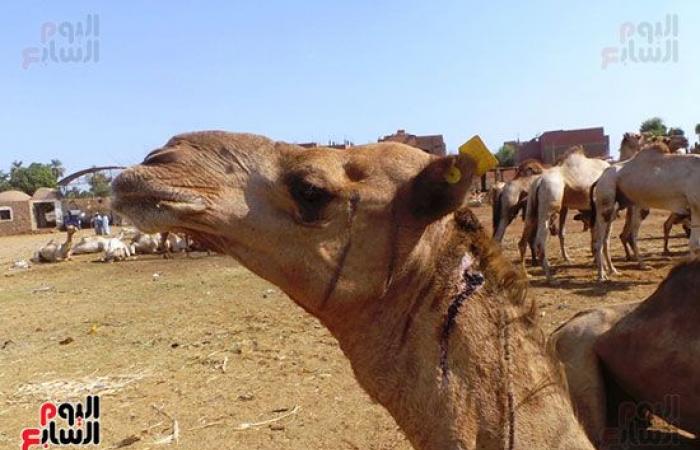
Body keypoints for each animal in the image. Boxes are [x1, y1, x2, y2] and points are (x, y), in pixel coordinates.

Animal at [516, 148, 608, 282]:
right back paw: (550, 278)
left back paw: (526, 274)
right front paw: (602, 271)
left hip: (531, 209)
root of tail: (539, 181)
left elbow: (565, 232)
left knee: (523, 241)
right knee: (540, 242)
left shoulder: (570, 207)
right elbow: (599, 238)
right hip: (549, 207)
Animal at [592, 142, 700, 280]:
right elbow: (695, 244)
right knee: (601, 238)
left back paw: (620, 269)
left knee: (616, 237)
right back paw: (602, 275)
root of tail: (600, 178)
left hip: (625, 206)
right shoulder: (694, 204)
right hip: (605, 198)